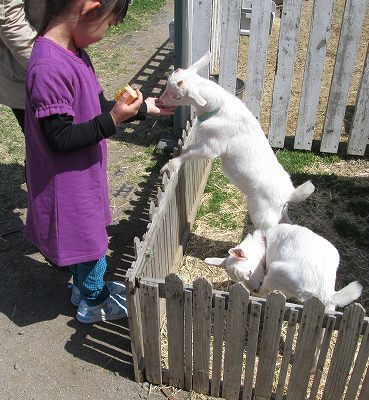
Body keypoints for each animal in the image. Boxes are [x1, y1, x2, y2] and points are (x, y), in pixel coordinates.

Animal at [158, 51, 314, 230]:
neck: (218, 108)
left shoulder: (212, 146)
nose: (159, 101)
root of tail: (289, 194)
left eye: (177, 96)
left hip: (264, 216)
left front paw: (170, 165)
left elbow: (190, 152)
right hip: (280, 212)